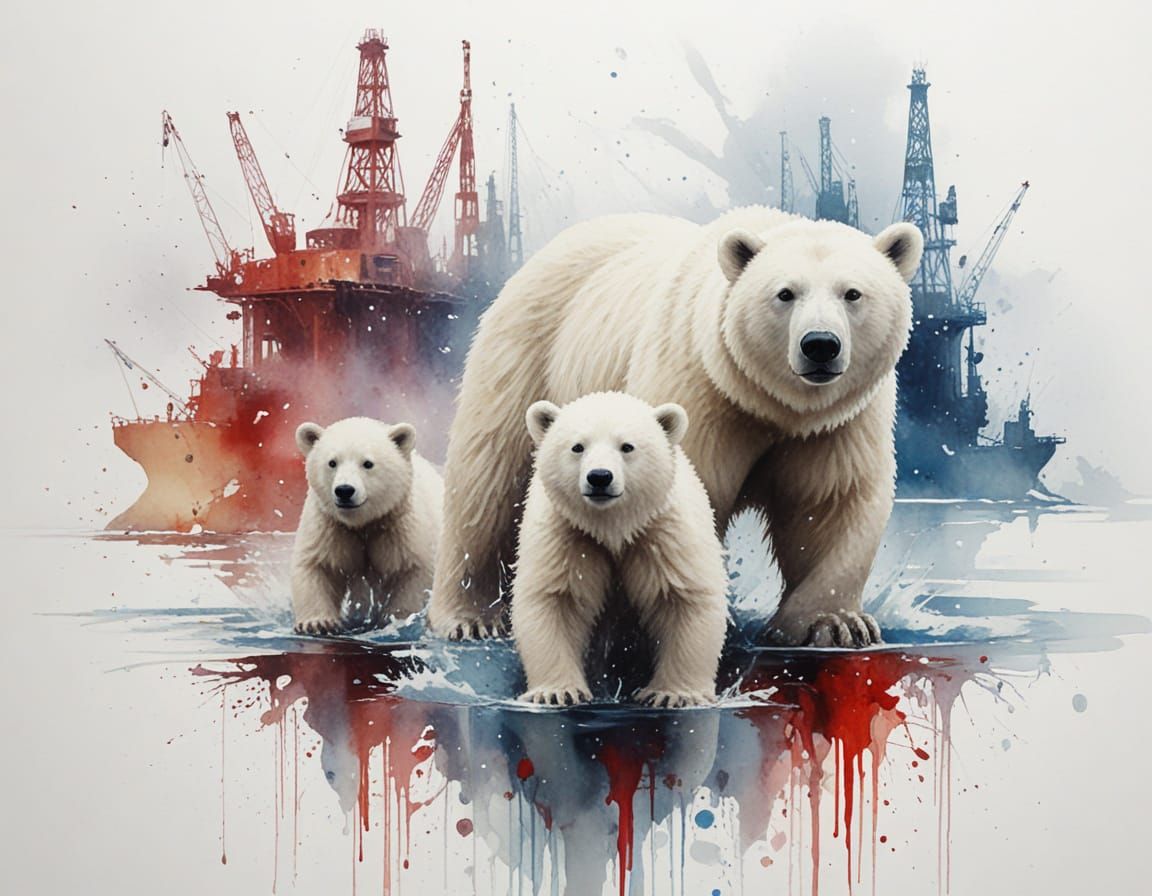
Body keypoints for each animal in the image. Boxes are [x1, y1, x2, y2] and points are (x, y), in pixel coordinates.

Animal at [291, 417, 442, 635]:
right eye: (332, 462)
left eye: (368, 463)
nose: (344, 490)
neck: (363, 523)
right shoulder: (330, 526)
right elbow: (316, 565)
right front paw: (317, 623)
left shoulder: (401, 527)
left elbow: (414, 572)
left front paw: (396, 619)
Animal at [427, 206, 923, 648]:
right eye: (785, 293)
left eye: (852, 293)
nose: (820, 344)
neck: (769, 404)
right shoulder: (698, 389)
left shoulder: (837, 424)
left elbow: (832, 501)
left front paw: (835, 624)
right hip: (527, 353)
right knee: (488, 481)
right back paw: (471, 617)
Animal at [513, 392, 728, 708]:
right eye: (577, 446)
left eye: (627, 446)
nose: (600, 477)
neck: (612, 528)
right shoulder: (567, 535)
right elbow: (554, 599)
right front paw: (557, 691)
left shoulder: (663, 535)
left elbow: (686, 598)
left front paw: (673, 694)